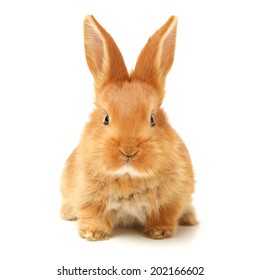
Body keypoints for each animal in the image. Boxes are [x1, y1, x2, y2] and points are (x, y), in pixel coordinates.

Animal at [60, 14, 198, 241]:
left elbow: (165, 215)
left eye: (152, 119)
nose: (129, 150)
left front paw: (159, 232)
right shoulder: (87, 197)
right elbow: (92, 214)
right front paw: (92, 234)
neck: (128, 177)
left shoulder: (172, 199)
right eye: (106, 118)